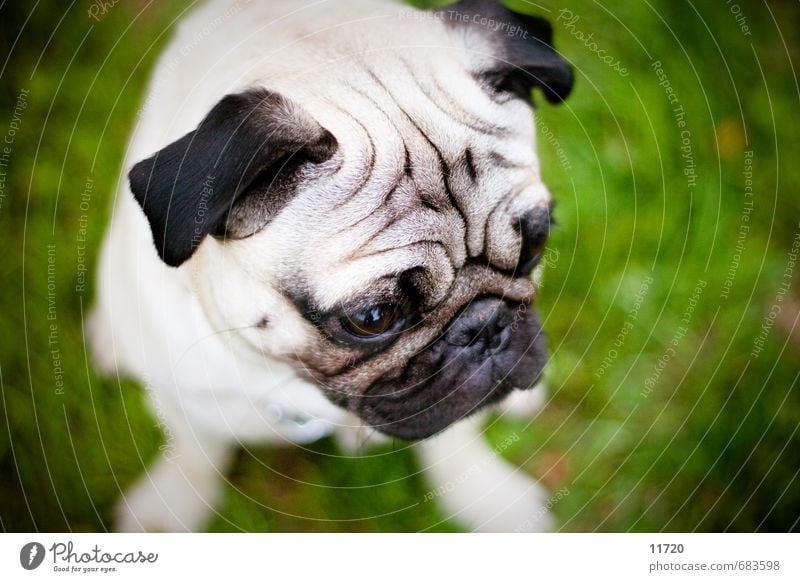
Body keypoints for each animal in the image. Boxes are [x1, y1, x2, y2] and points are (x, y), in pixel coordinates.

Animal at [90, 0, 572, 532]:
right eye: (373, 319)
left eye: (535, 245)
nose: (485, 326)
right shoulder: (186, 397)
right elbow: (196, 446)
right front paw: (173, 503)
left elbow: (455, 438)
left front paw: (483, 495)